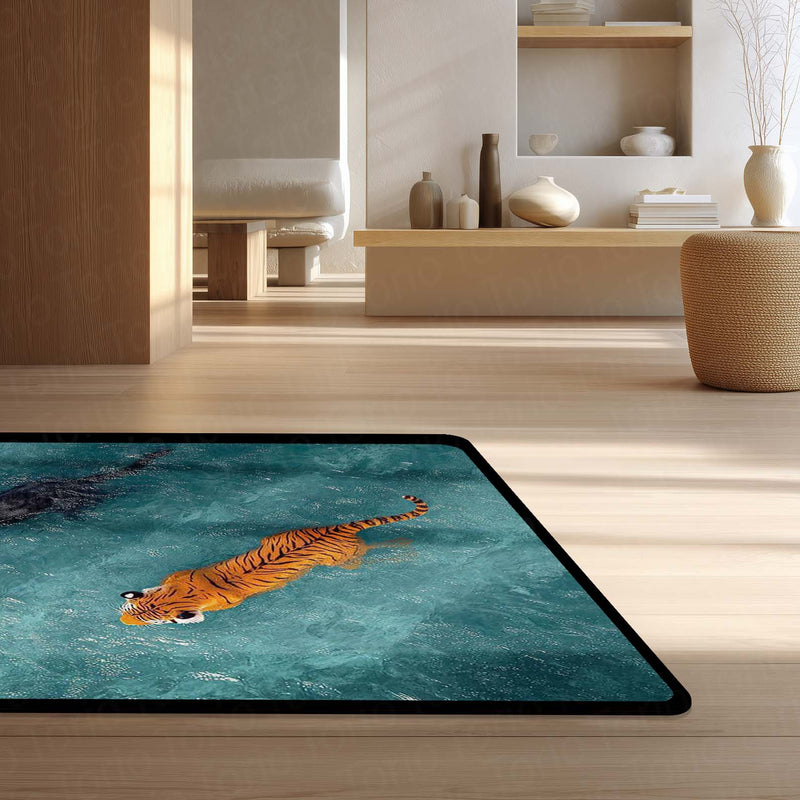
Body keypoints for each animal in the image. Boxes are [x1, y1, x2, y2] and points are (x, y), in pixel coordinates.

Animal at [119, 495, 429, 625]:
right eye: (130, 610)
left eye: (148, 622)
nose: (124, 621)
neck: (177, 594)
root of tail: (341, 528)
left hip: (346, 557)